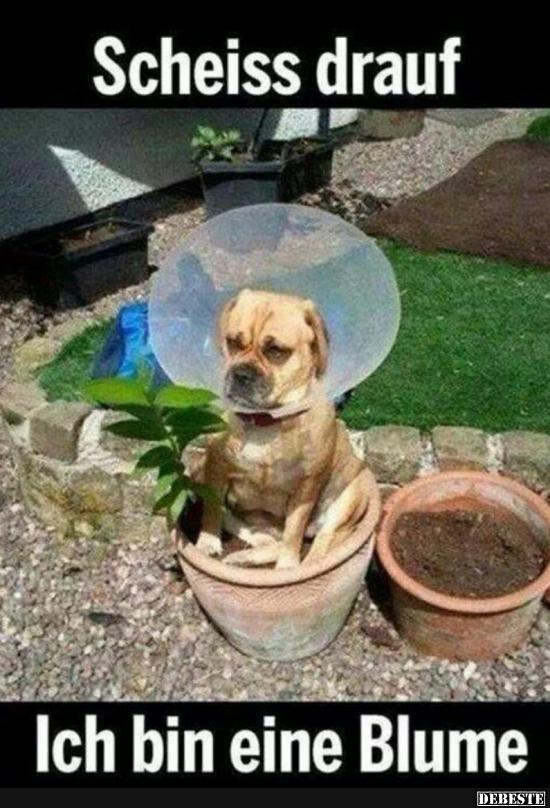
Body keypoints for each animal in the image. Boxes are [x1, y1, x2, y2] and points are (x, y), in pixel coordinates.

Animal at [193, 289, 372, 569]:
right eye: (233, 342)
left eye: (276, 351)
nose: (241, 374)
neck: (266, 421)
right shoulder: (215, 467)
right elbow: (212, 511)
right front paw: (207, 543)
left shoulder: (306, 486)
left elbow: (293, 532)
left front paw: (287, 566)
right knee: (253, 534)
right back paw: (242, 557)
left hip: (351, 492)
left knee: (320, 544)